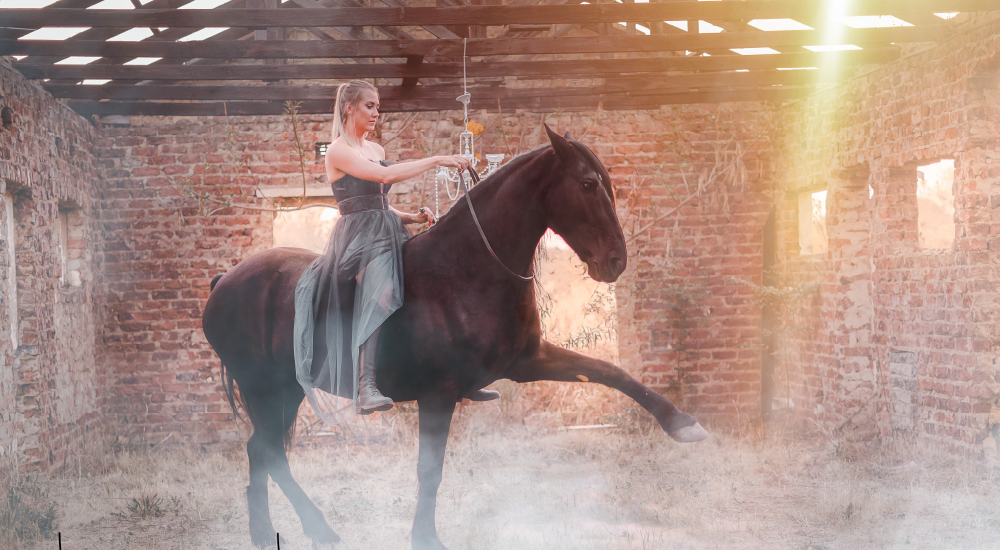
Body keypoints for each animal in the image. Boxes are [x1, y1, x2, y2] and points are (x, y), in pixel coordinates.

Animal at [201, 125, 709, 550]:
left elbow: (609, 372)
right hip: (266, 390)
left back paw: (271, 533)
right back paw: (316, 529)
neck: (467, 269)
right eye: (587, 184)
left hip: (284, 392)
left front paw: (681, 422)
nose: (616, 261)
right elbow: (430, 470)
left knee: (261, 451)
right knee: (268, 451)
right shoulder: (438, 394)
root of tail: (225, 281)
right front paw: (426, 538)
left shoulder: (528, 362)